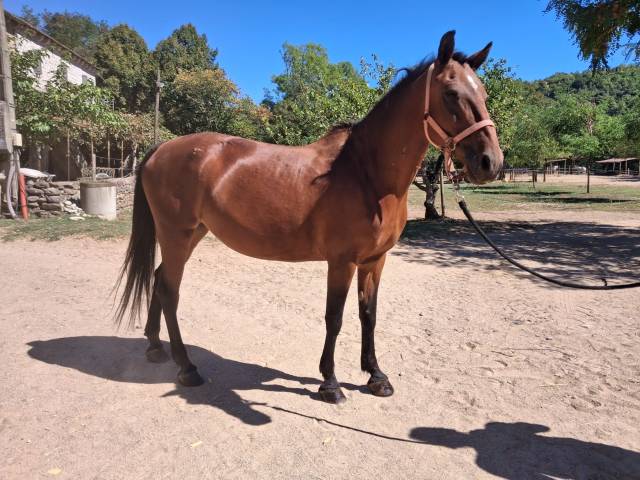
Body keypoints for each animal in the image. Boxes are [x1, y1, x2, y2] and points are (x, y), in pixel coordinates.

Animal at [115, 31, 504, 404]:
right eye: (451, 94)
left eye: (484, 92)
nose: (491, 162)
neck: (366, 174)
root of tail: (161, 148)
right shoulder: (342, 261)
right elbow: (335, 318)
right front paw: (330, 384)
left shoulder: (374, 261)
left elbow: (369, 315)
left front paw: (376, 377)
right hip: (177, 234)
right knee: (169, 290)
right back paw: (186, 367)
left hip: (192, 233)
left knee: (159, 279)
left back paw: (155, 347)